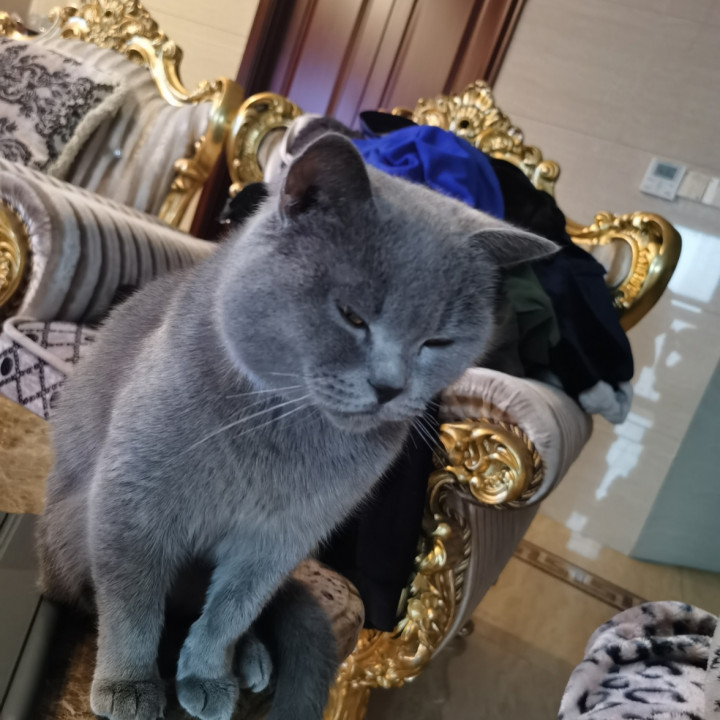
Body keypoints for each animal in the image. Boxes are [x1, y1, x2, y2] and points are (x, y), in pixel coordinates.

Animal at [36, 131, 556, 720]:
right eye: (352, 316)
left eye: (438, 341)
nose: (391, 386)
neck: (285, 429)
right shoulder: (132, 504)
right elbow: (134, 604)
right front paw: (128, 686)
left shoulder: (280, 541)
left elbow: (231, 612)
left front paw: (207, 674)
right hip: (72, 527)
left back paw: (252, 659)